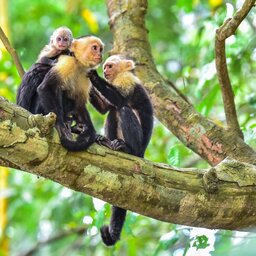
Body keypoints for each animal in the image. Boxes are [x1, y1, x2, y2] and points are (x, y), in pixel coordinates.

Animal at [87, 55, 154, 245]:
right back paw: (106, 142)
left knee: (123, 109)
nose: (104, 71)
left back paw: (127, 149)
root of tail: (142, 153)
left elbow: (120, 100)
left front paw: (93, 76)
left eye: (109, 66)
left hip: (139, 146)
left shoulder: (127, 80)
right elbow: (105, 109)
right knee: (112, 112)